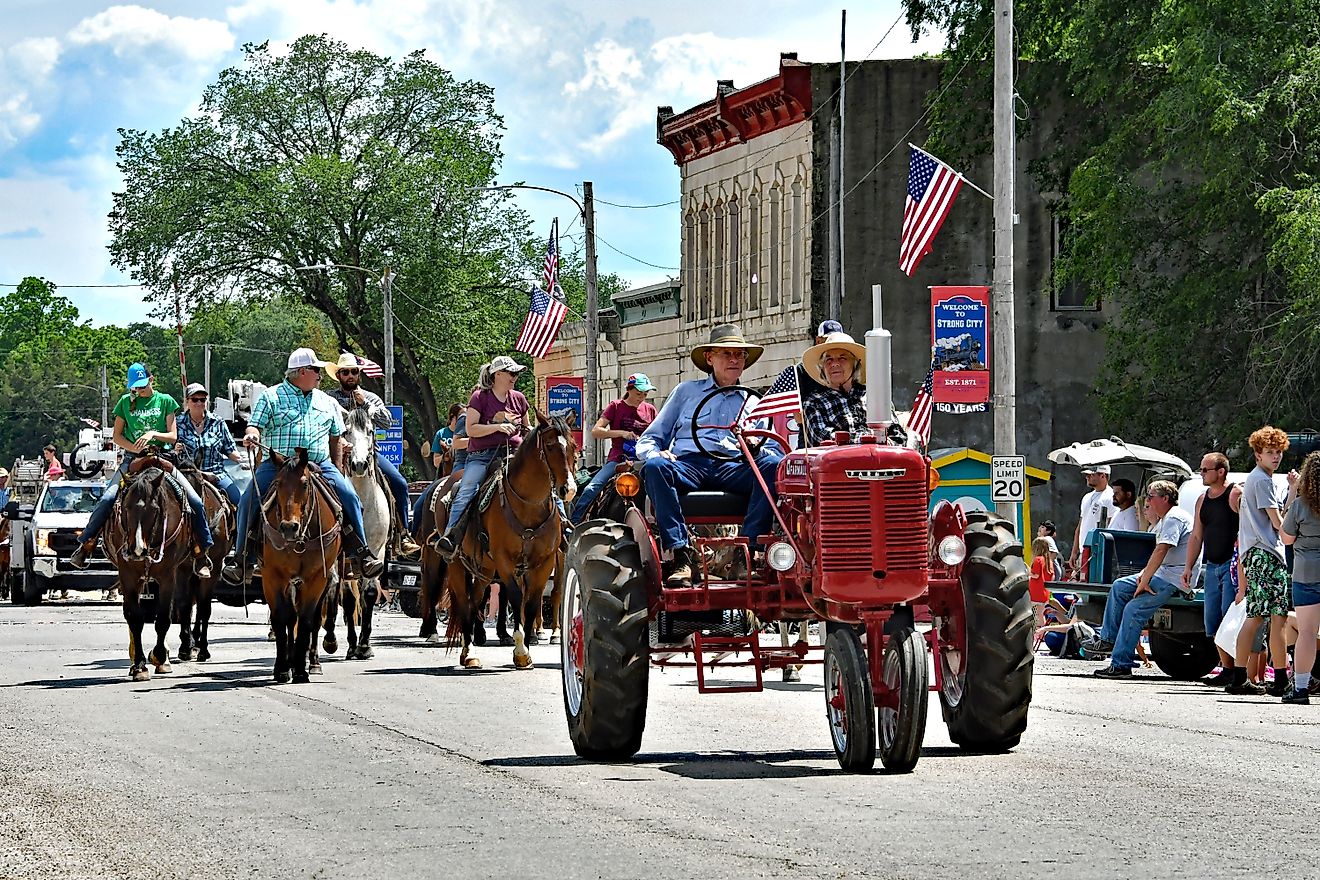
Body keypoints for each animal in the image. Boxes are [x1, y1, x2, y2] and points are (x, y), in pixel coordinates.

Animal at [101, 453, 195, 680]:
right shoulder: (127, 575)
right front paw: (139, 666)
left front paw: (160, 657)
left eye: (154, 510)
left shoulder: (168, 575)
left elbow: (163, 618)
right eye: (126, 507)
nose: (137, 549)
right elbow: (135, 618)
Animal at [172, 464, 234, 664]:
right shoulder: (181, 569)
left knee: (199, 604)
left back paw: (197, 641)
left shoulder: (214, 568)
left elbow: (205, 607)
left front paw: (204, 648)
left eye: (199, 485)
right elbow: (184, 604)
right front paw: (185, 647)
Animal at [261, 451, 343, 686]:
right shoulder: (272, 577)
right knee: (290, 618)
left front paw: (299, 669)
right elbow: (282, 618)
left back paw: (312, 662)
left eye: (305, 484)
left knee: (311, 619)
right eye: (278, 483)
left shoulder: (316, 579)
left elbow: (307, 620)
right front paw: (282, 668)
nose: (289, 527)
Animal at [322, 406, 388, 659]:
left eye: (370, 430)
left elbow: (368, 594)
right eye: (346, 431)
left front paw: (365, 645)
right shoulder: (342, 558)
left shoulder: (377, 552)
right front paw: (350, 644)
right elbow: (347, 598)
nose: (359, 464)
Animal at [440, 411, 575, 667]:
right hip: (456, 565)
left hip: (484, 568)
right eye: (550, 445)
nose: (568, 489)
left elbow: (531, 603)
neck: (529, 504)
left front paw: (527, 651)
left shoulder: (544, 563)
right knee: (463, 601)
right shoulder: (505, 561)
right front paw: (520, 649)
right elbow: (516, 596)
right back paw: (469, 652)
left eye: (573, 446)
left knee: (475, 600)